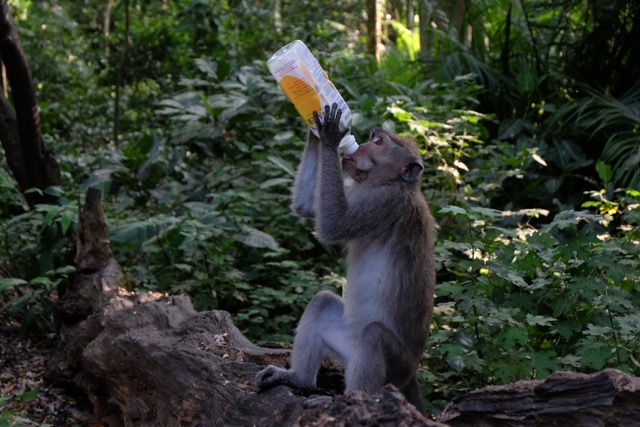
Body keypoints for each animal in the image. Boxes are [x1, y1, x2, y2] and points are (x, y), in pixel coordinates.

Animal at [255, 103, 436, 413]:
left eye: (378, 142)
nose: (358, 146)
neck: (392, 183)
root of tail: (411, 373)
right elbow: (307, 209)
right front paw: (314, 128)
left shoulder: (384, 203)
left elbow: (334, 225)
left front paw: (329, 135)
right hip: (348, 347)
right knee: (322, 303)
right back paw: (299, 379)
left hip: (396, 368)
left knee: (374, 335)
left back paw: (351, 401)